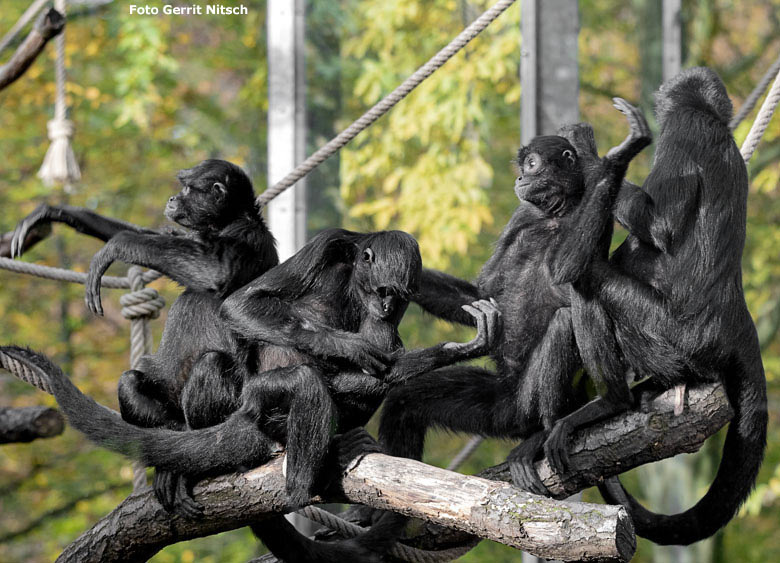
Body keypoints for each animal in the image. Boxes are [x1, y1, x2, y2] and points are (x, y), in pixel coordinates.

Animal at [10, 159, 278, 516]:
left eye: (188, 188)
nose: (172, 198)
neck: (226, 225)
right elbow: (161, 238)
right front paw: (55, 211)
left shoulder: (249, 237)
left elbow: (216, 271)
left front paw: (118, 244)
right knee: (131, 382)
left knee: (211, 363)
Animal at [378, 99, 652, 496]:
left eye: (532, 164)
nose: (521, 178)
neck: (554, 215)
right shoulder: (524, 214)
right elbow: (485, 293)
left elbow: (569, 270)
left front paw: (620, 155)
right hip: (497, 403)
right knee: (406, 402)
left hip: (526, 400)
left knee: (565, 319)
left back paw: (555, 427)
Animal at [540, 66, 764, 548]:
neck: (714, 125)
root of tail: (737, 324)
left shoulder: (683, 131)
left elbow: (658, 226)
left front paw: (601, 151)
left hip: (666, 335)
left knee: (586, 277)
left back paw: (612, 401)